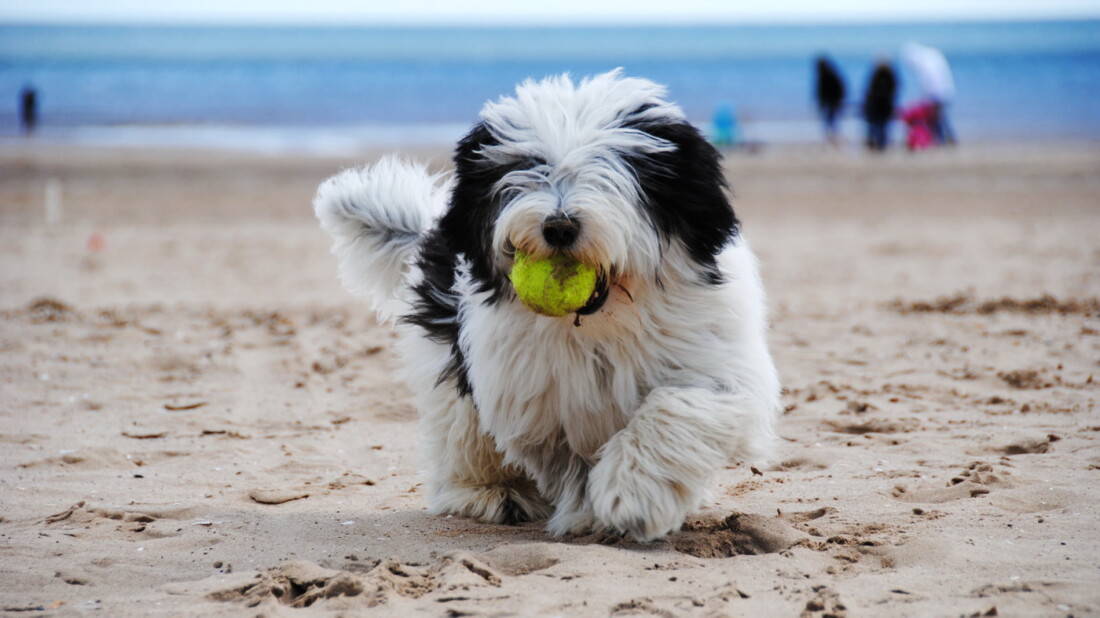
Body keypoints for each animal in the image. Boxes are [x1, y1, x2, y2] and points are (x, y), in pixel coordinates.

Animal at [314, 68, 783, 538]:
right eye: (527, 170)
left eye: (612, 171)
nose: (559, 226)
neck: (604, 322)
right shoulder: (538, 397)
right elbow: (568, 457)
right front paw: (591, 511)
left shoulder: (717, 362)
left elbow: (677, 408)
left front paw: (632, 492)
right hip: (453, 359)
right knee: (462, 428)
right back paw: (490, 491)